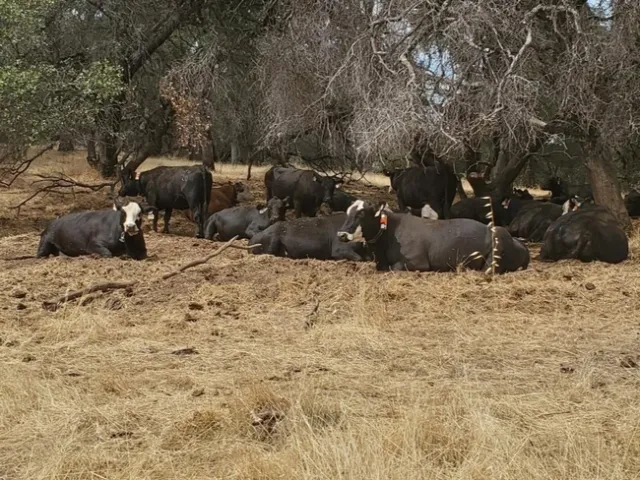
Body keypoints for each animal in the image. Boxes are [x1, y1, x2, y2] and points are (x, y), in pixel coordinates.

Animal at [336, 200, 529, 273]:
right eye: (348, 212)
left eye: (361, 214)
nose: (341, 234)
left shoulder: (417, 262)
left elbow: (394, 267)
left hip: (494, 255)